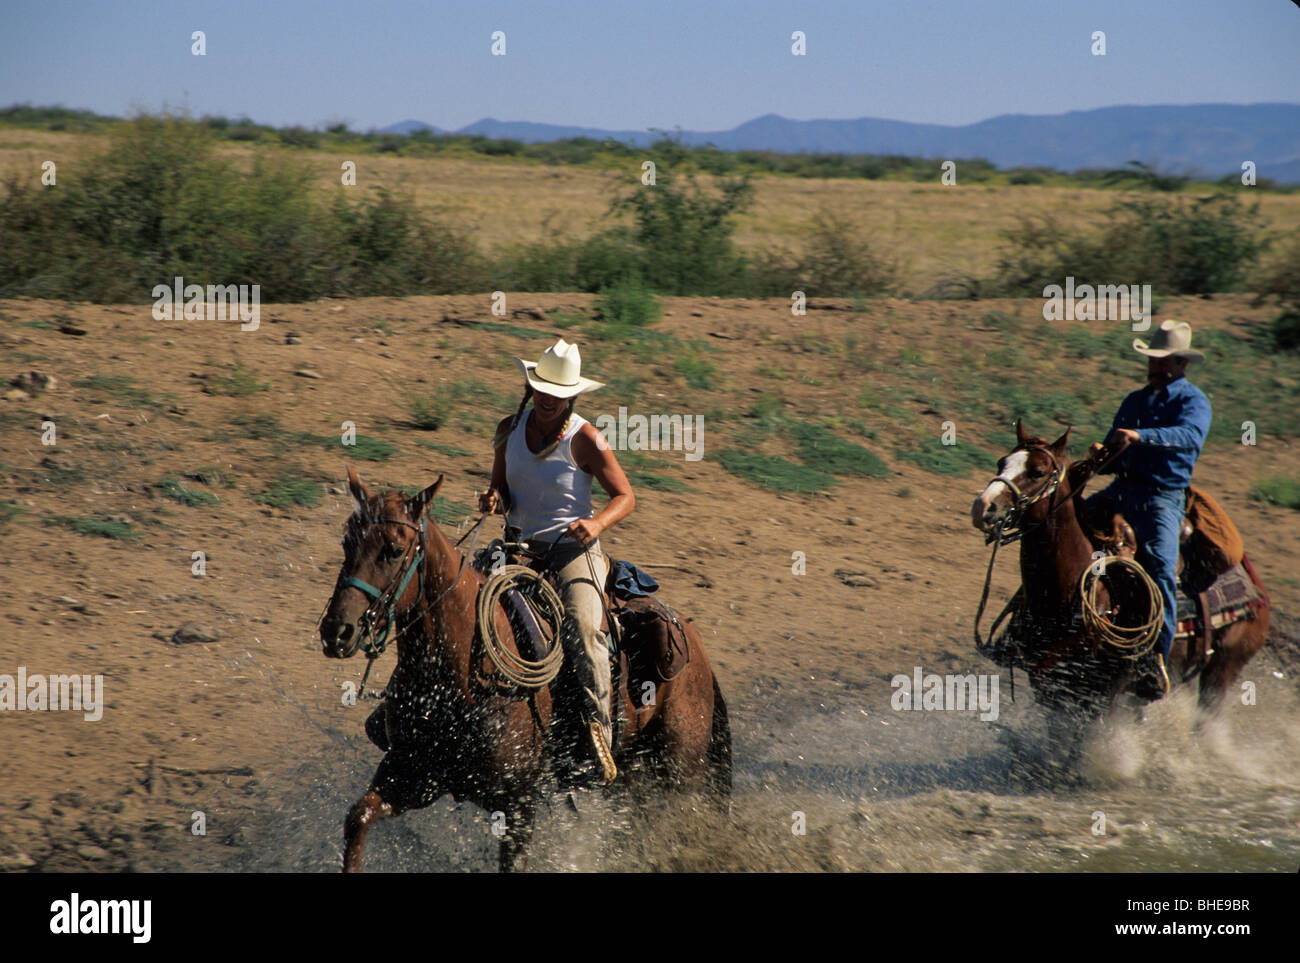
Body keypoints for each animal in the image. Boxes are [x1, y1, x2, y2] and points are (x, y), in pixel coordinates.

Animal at [315, 465, 733, 873]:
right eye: (347, 543)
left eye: (394, 549)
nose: (337, 630)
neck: (460, 679)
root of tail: (693, 643)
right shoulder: (412, 774)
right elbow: (358, 819)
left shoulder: (518, 805)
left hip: (679, 770)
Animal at [977, 421, 1268, 743]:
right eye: (1001, 462)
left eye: (1037, 471)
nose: (983, 506)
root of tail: (1251, 582)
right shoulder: (1052, 688)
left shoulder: (1102, 696)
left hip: (1222, 671)